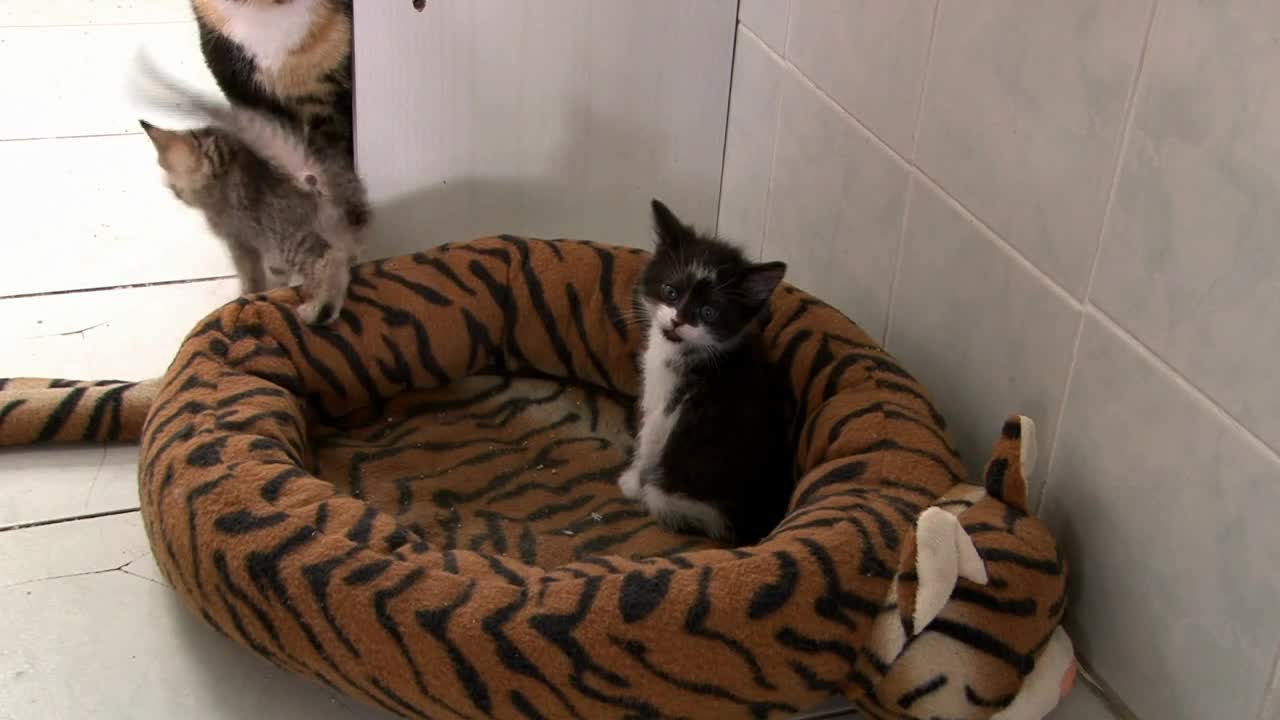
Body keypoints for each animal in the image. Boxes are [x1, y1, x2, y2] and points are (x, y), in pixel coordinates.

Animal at [616, 198, 793, 540]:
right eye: (670, 291)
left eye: (708, 312)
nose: (676, 321)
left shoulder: (669, 403)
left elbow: (649, 438)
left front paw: (631, 481)